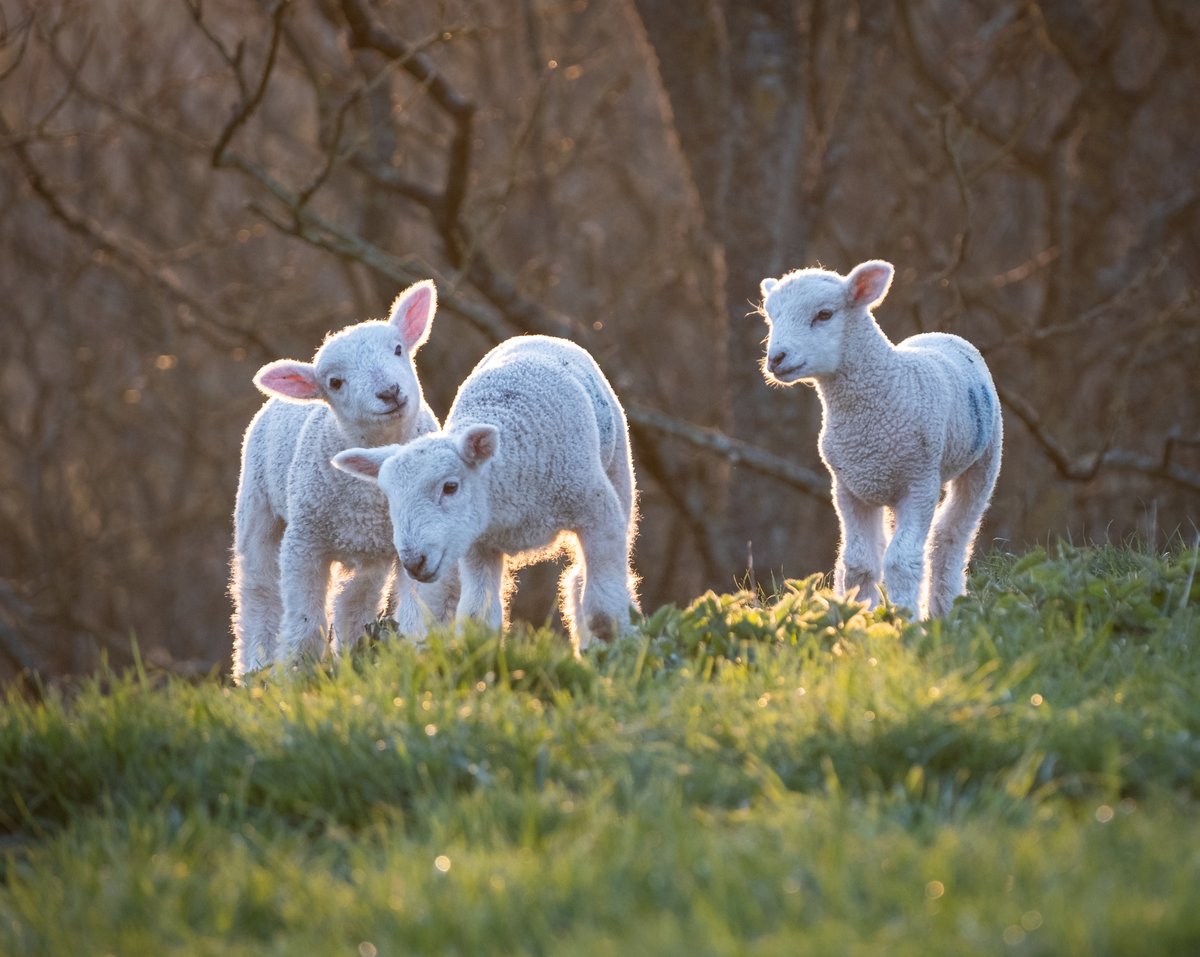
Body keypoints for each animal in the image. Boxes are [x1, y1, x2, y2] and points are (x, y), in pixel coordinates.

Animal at [230, 279, 455, 681]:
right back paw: (256, 667)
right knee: (258, 589)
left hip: (370, 549)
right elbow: (303, 617)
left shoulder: (417, 535)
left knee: (354, 599)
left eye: (398, 349)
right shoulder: (304, 543)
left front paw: (417, 651)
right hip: (257, 503)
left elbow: (412, 603)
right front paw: (298, 672)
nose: (389, 392)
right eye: (334, 382)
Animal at [331, 334, 640, 651]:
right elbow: (478, 620)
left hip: (617, 471)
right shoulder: (476, 543)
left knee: (582, 579)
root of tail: (538, 337)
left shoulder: (596, 510)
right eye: (390, 498)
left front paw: (615, 649)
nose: (414, 562)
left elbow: (603, 612)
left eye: (450, 487)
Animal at [758, 259, 1002, 618]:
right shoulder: (848, 487)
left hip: (986, 459)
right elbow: (858, 564)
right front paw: (857, 618)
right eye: (771, 317)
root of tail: (941, 334)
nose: (776, 358)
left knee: (950, 536)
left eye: (824, 314)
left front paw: (907, 621)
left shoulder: (920, 482)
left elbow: (902, 561)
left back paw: (944, 608)